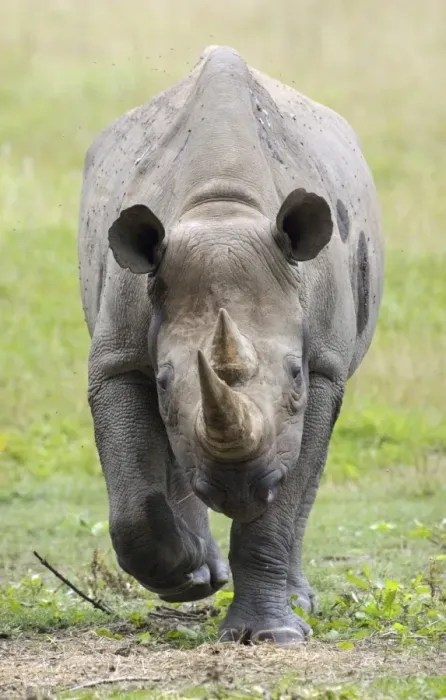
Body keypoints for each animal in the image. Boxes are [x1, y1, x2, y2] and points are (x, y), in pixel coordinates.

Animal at [78, 46, 384, 645]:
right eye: (165, 381)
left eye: (294, 374)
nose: (236, 489)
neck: (221, 211)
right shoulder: (118, 358)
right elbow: (133, 497)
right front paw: (185, 579)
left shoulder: (322, 367)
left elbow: (284, 494)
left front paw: (273, 636)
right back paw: (199, 573)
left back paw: (295, 601)